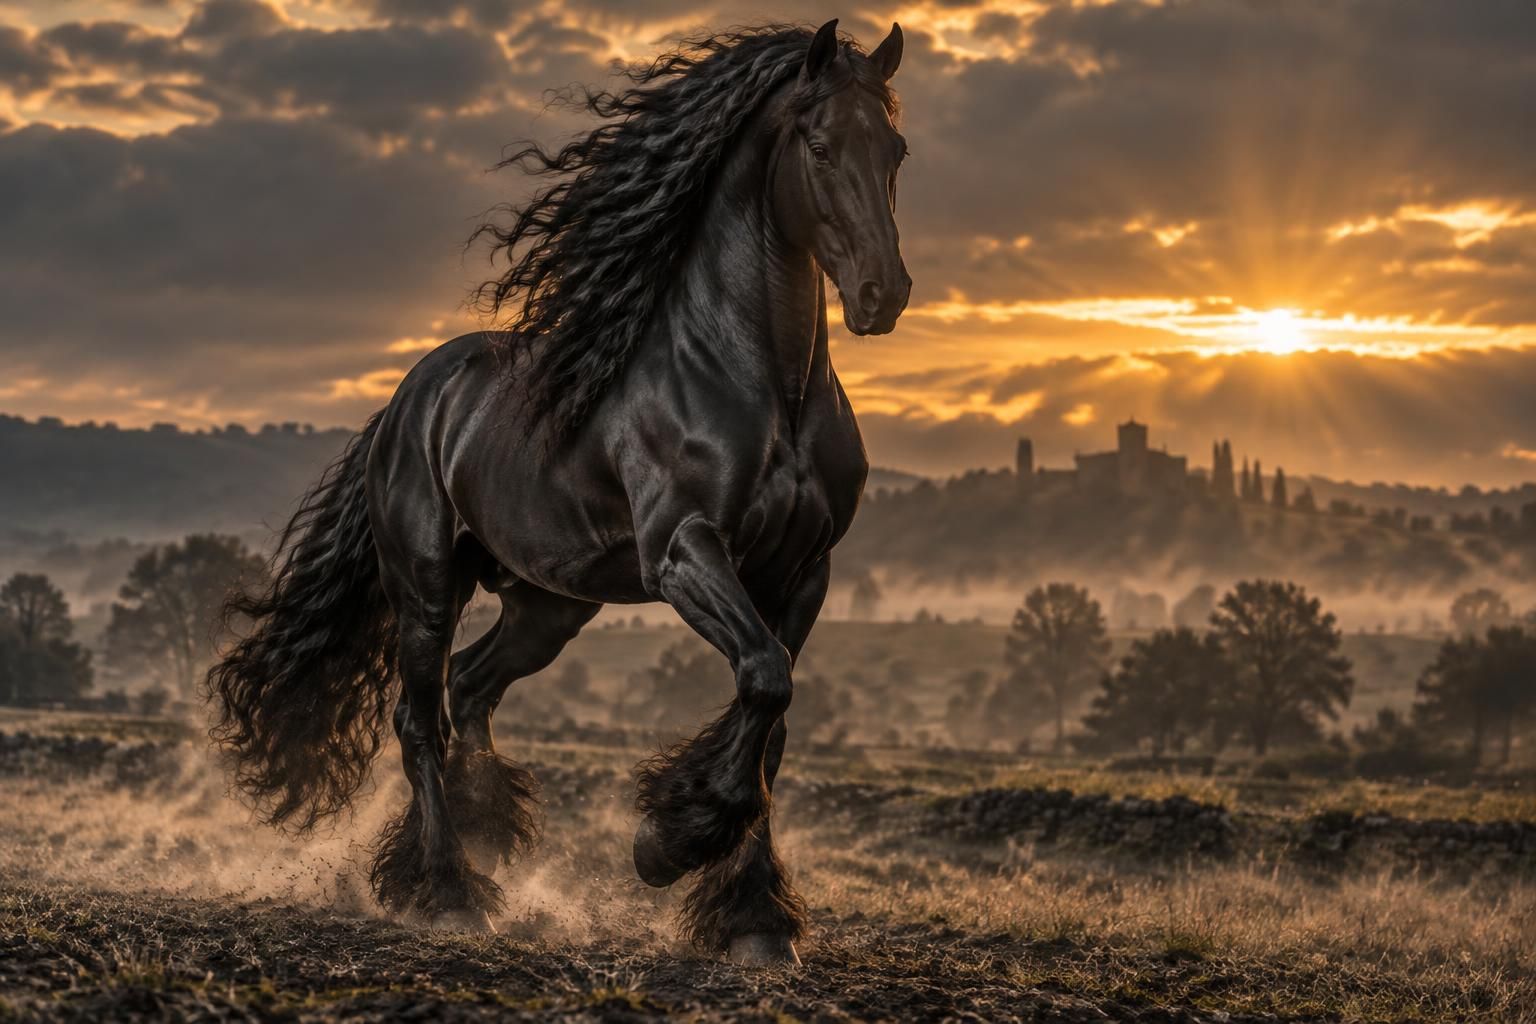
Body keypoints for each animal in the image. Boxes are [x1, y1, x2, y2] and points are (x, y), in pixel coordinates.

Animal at [204, 19, 909, 967]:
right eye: (822, 146)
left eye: (896, 151)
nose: (883, 294)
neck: (764, 385)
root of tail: (408, 400)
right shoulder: (685, 552)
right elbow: (764, 682)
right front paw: (666, 845)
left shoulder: (802, 573)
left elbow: (774, 724)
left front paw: (754, 920)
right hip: (427, 586)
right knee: (418, 718)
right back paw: (446, 890)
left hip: (548, 605)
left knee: (471, 688)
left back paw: (484, 831)